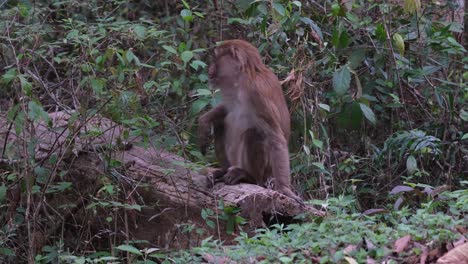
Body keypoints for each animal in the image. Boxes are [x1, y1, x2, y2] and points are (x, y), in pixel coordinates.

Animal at [197, 38, 300, 202]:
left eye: (215, 59)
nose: (210, 68)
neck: (244, 77)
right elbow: (226, 109)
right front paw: (204, 120)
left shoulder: (257, 92)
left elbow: (275, 138)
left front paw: (285, 189)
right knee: (220, 123)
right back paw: (223, 170)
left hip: (264, 172)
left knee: (254, 134)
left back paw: (248, 176)